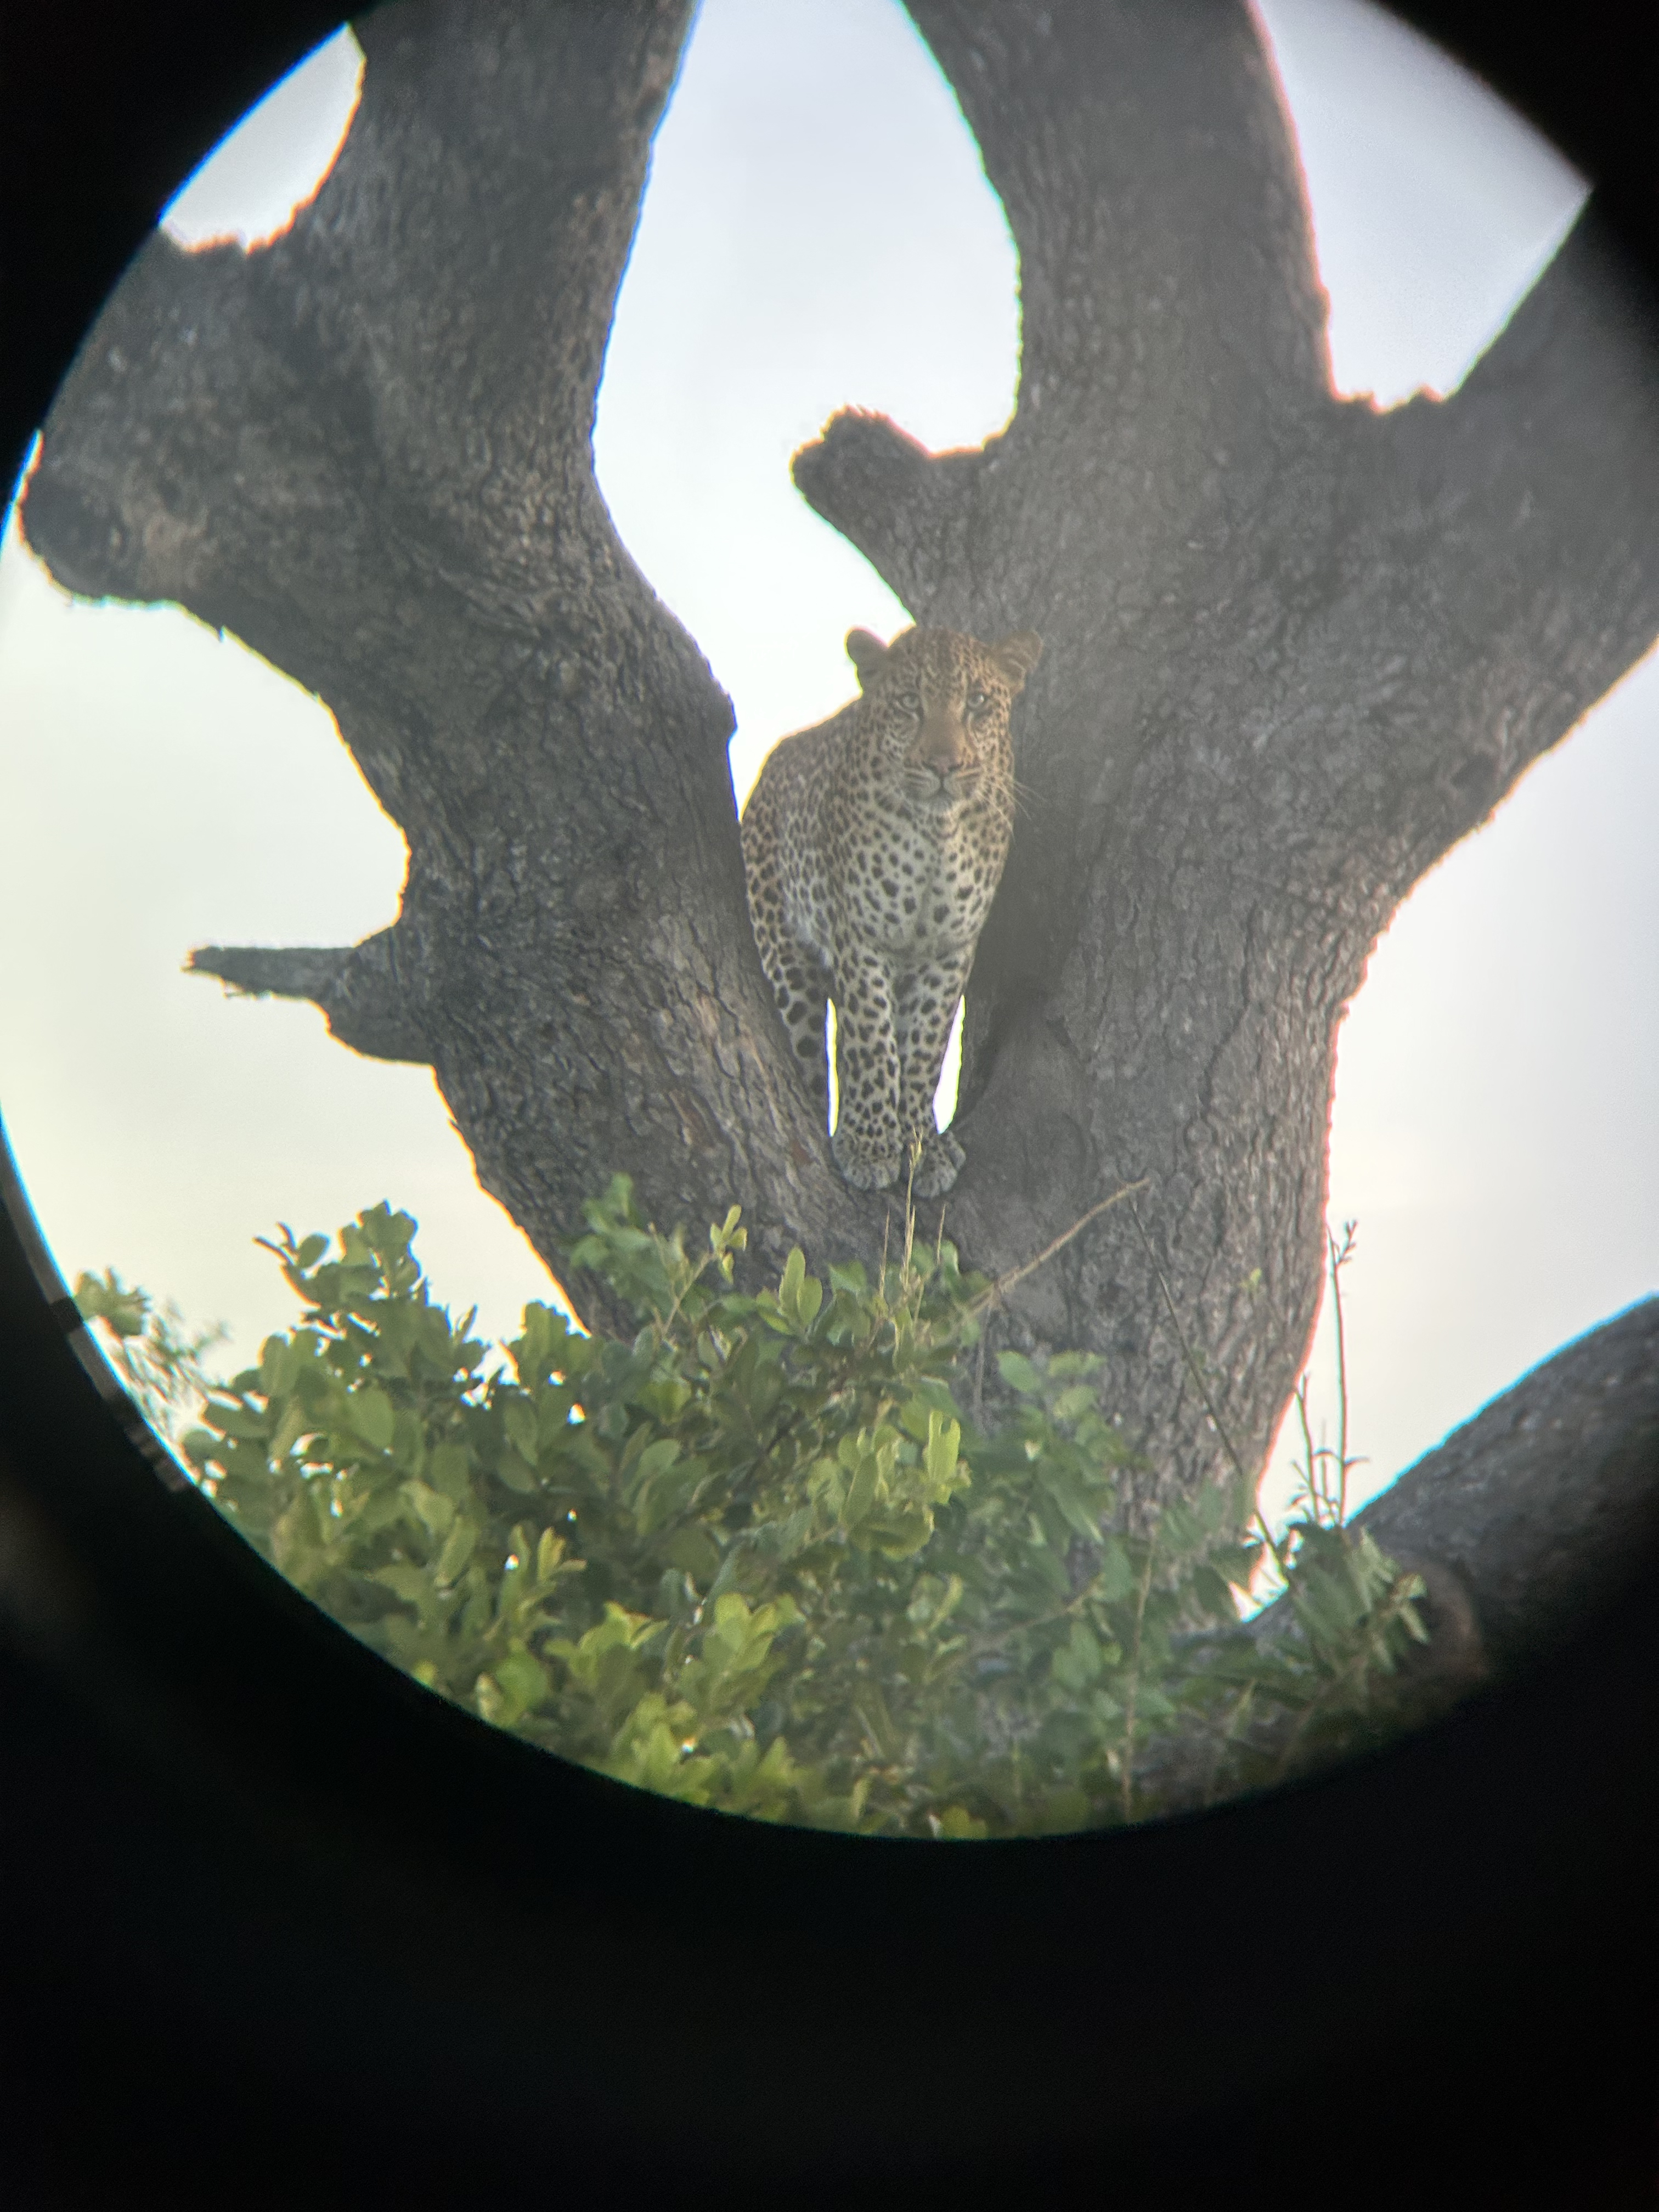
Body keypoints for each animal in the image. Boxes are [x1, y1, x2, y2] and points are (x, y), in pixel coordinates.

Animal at [740, 622, 1042, 1198]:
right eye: (908, 703)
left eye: (978, 702)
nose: (944, 766)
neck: (937, 834)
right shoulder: (861, 936)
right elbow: (873, 1040)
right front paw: (871, 1144)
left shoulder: (950, 951)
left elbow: (924, 1049)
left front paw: (922, 1146)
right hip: (785, 955)